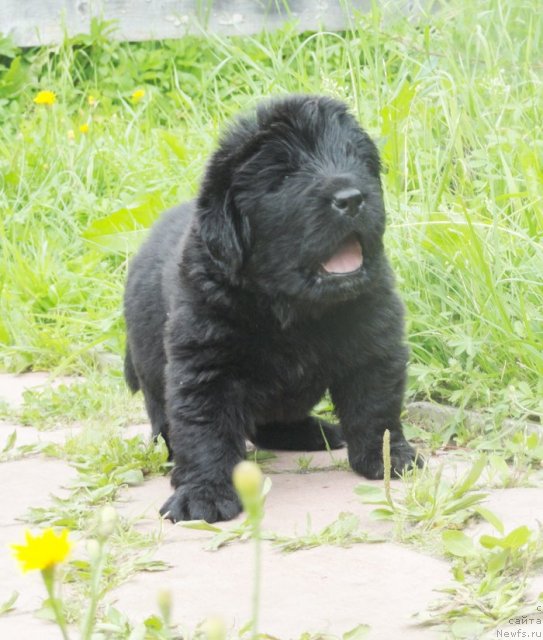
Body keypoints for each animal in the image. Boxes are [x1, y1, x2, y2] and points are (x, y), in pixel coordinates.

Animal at [124, 96, 420, 524]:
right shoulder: (205, 363)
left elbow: (375, 407)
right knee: (169, 423)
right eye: (284, 176)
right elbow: (204, 429)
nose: (351, 198)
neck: (294, 309)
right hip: (149, 366)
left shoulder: (373, 342)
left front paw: (388, 457)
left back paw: (315, 432)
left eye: (355, 159)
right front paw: (203, 493)